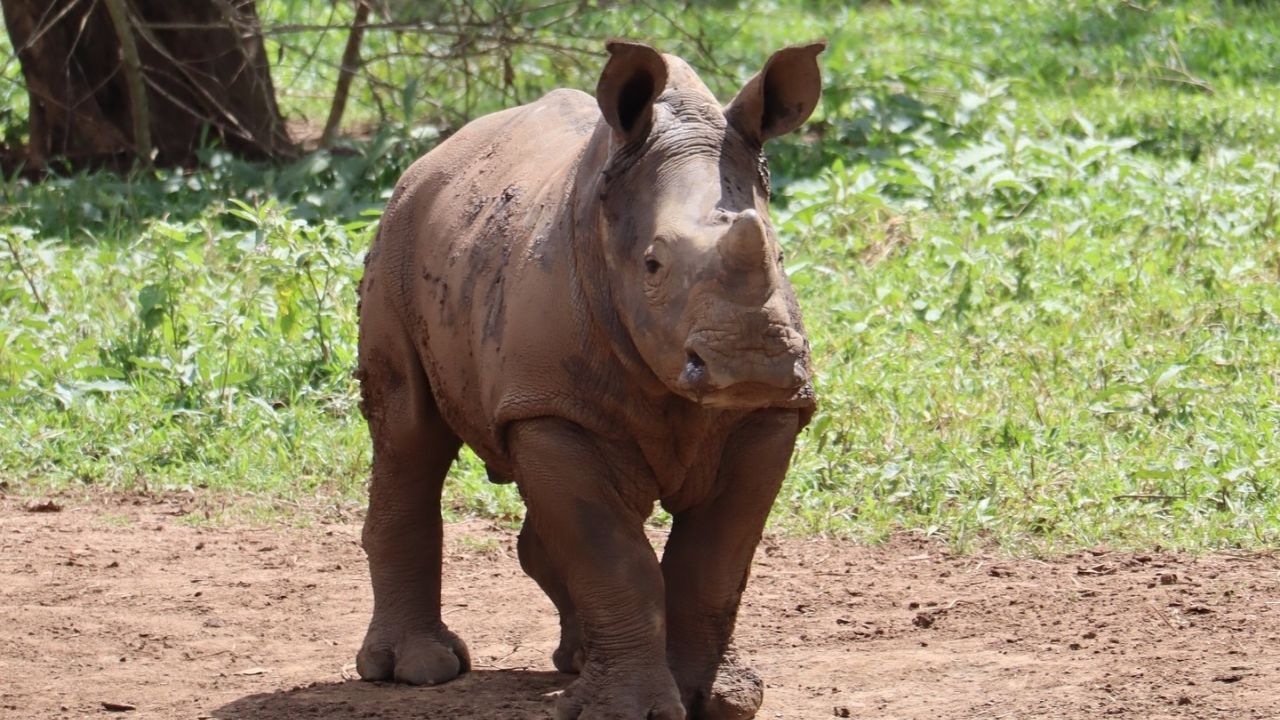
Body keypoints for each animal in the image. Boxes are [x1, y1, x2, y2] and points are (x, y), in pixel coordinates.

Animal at [354, 40, 824, 719]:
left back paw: (575, 664)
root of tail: (430, 158)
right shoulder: (550, 408)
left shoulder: (770, 414)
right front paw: (629, 711)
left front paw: (719, 702)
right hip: (397, 235)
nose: (751, 364)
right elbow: (614, 559)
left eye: (781, 258)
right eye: (652, 264)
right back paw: (418, 673)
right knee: (407, 436)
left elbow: (715, 560)